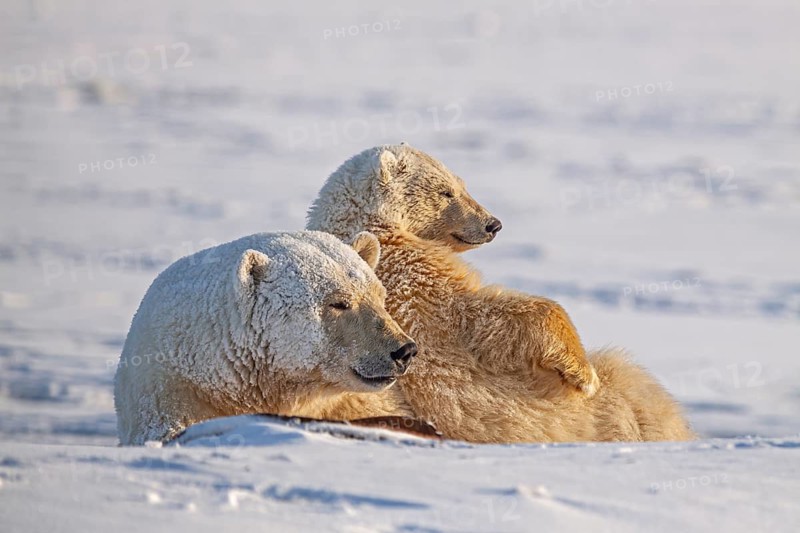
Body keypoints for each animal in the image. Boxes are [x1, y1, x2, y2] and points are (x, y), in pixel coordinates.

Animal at [306, 144, 695, 442]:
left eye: (463, 184)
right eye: (446, 191)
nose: (493, 224)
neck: (374, 229)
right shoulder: (414, 280)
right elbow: (492, 319)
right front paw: (585, 375)